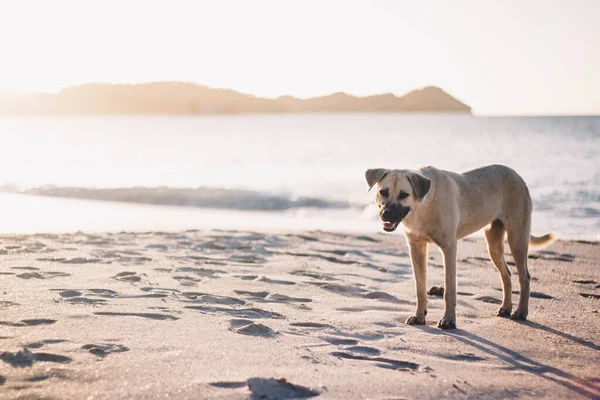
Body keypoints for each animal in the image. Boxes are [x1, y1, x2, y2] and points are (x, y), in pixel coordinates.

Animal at [364, 164, 556, 330]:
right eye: (383, 192)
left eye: (404, 194)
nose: (386, 214)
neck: (423, 206)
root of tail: (517, 175)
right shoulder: (416, 248)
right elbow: (420, 288)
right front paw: (419, 316)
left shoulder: (449, 248)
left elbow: (449, 290)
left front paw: (449, 321)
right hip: (493, 243)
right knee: (506, 275)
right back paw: (506, 308)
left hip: (517, 238)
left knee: (525, 277)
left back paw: (521, 312)